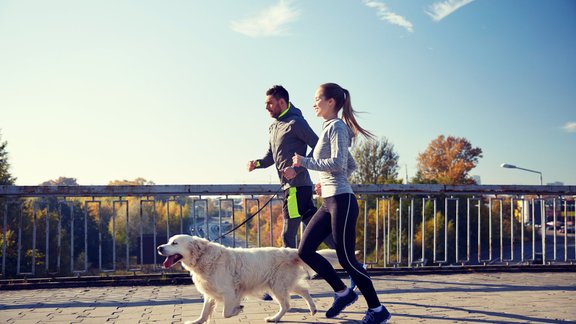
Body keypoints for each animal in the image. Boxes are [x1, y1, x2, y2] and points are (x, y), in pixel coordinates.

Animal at [159, 234, 338, 322]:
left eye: (174, 243)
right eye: (168, 241)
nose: (159, 247)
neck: (204, 257)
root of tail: (290, 251)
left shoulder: (229, 292)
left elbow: (226, 313)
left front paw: (238, 309)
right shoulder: (210, 293)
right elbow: (204, 313)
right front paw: (196, 321)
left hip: (277, 286)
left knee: (287, 304)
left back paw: (274, 318)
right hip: (282, 284)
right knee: (303, 290)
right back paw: (313, 309)